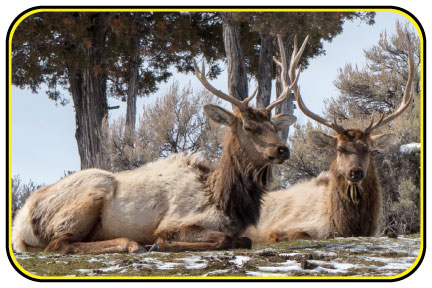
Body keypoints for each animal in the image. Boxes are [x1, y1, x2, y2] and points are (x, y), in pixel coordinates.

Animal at [12, 45, 308, 254]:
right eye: (247, 126)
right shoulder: (177, 221)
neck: (227, 201)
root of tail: (20, 225)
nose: (283, 150)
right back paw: (131, 244)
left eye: (273, 125)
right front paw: (159, 243)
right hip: (89, 195)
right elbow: (226, 239)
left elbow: (243, 239)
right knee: (59, 245)